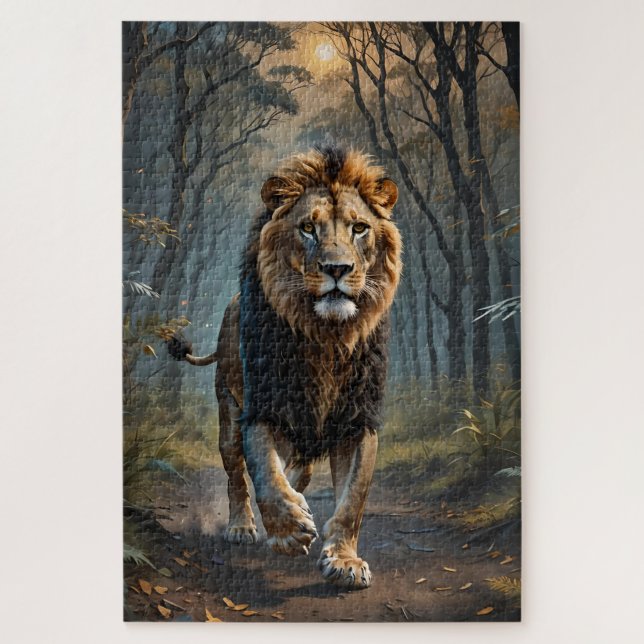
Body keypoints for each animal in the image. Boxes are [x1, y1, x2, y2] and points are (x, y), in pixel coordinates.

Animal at [169, 146, 401, 589]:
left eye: (359, 228)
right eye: (308, 228)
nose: (337, 269)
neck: (325, 337)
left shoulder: (359, 418)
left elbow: (354, 497)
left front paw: (345, 560)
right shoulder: (262, 407)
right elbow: (263, 471)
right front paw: (289, 530)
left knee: (301, 471)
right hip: (228, 409)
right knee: (236, 475)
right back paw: (244, 526)